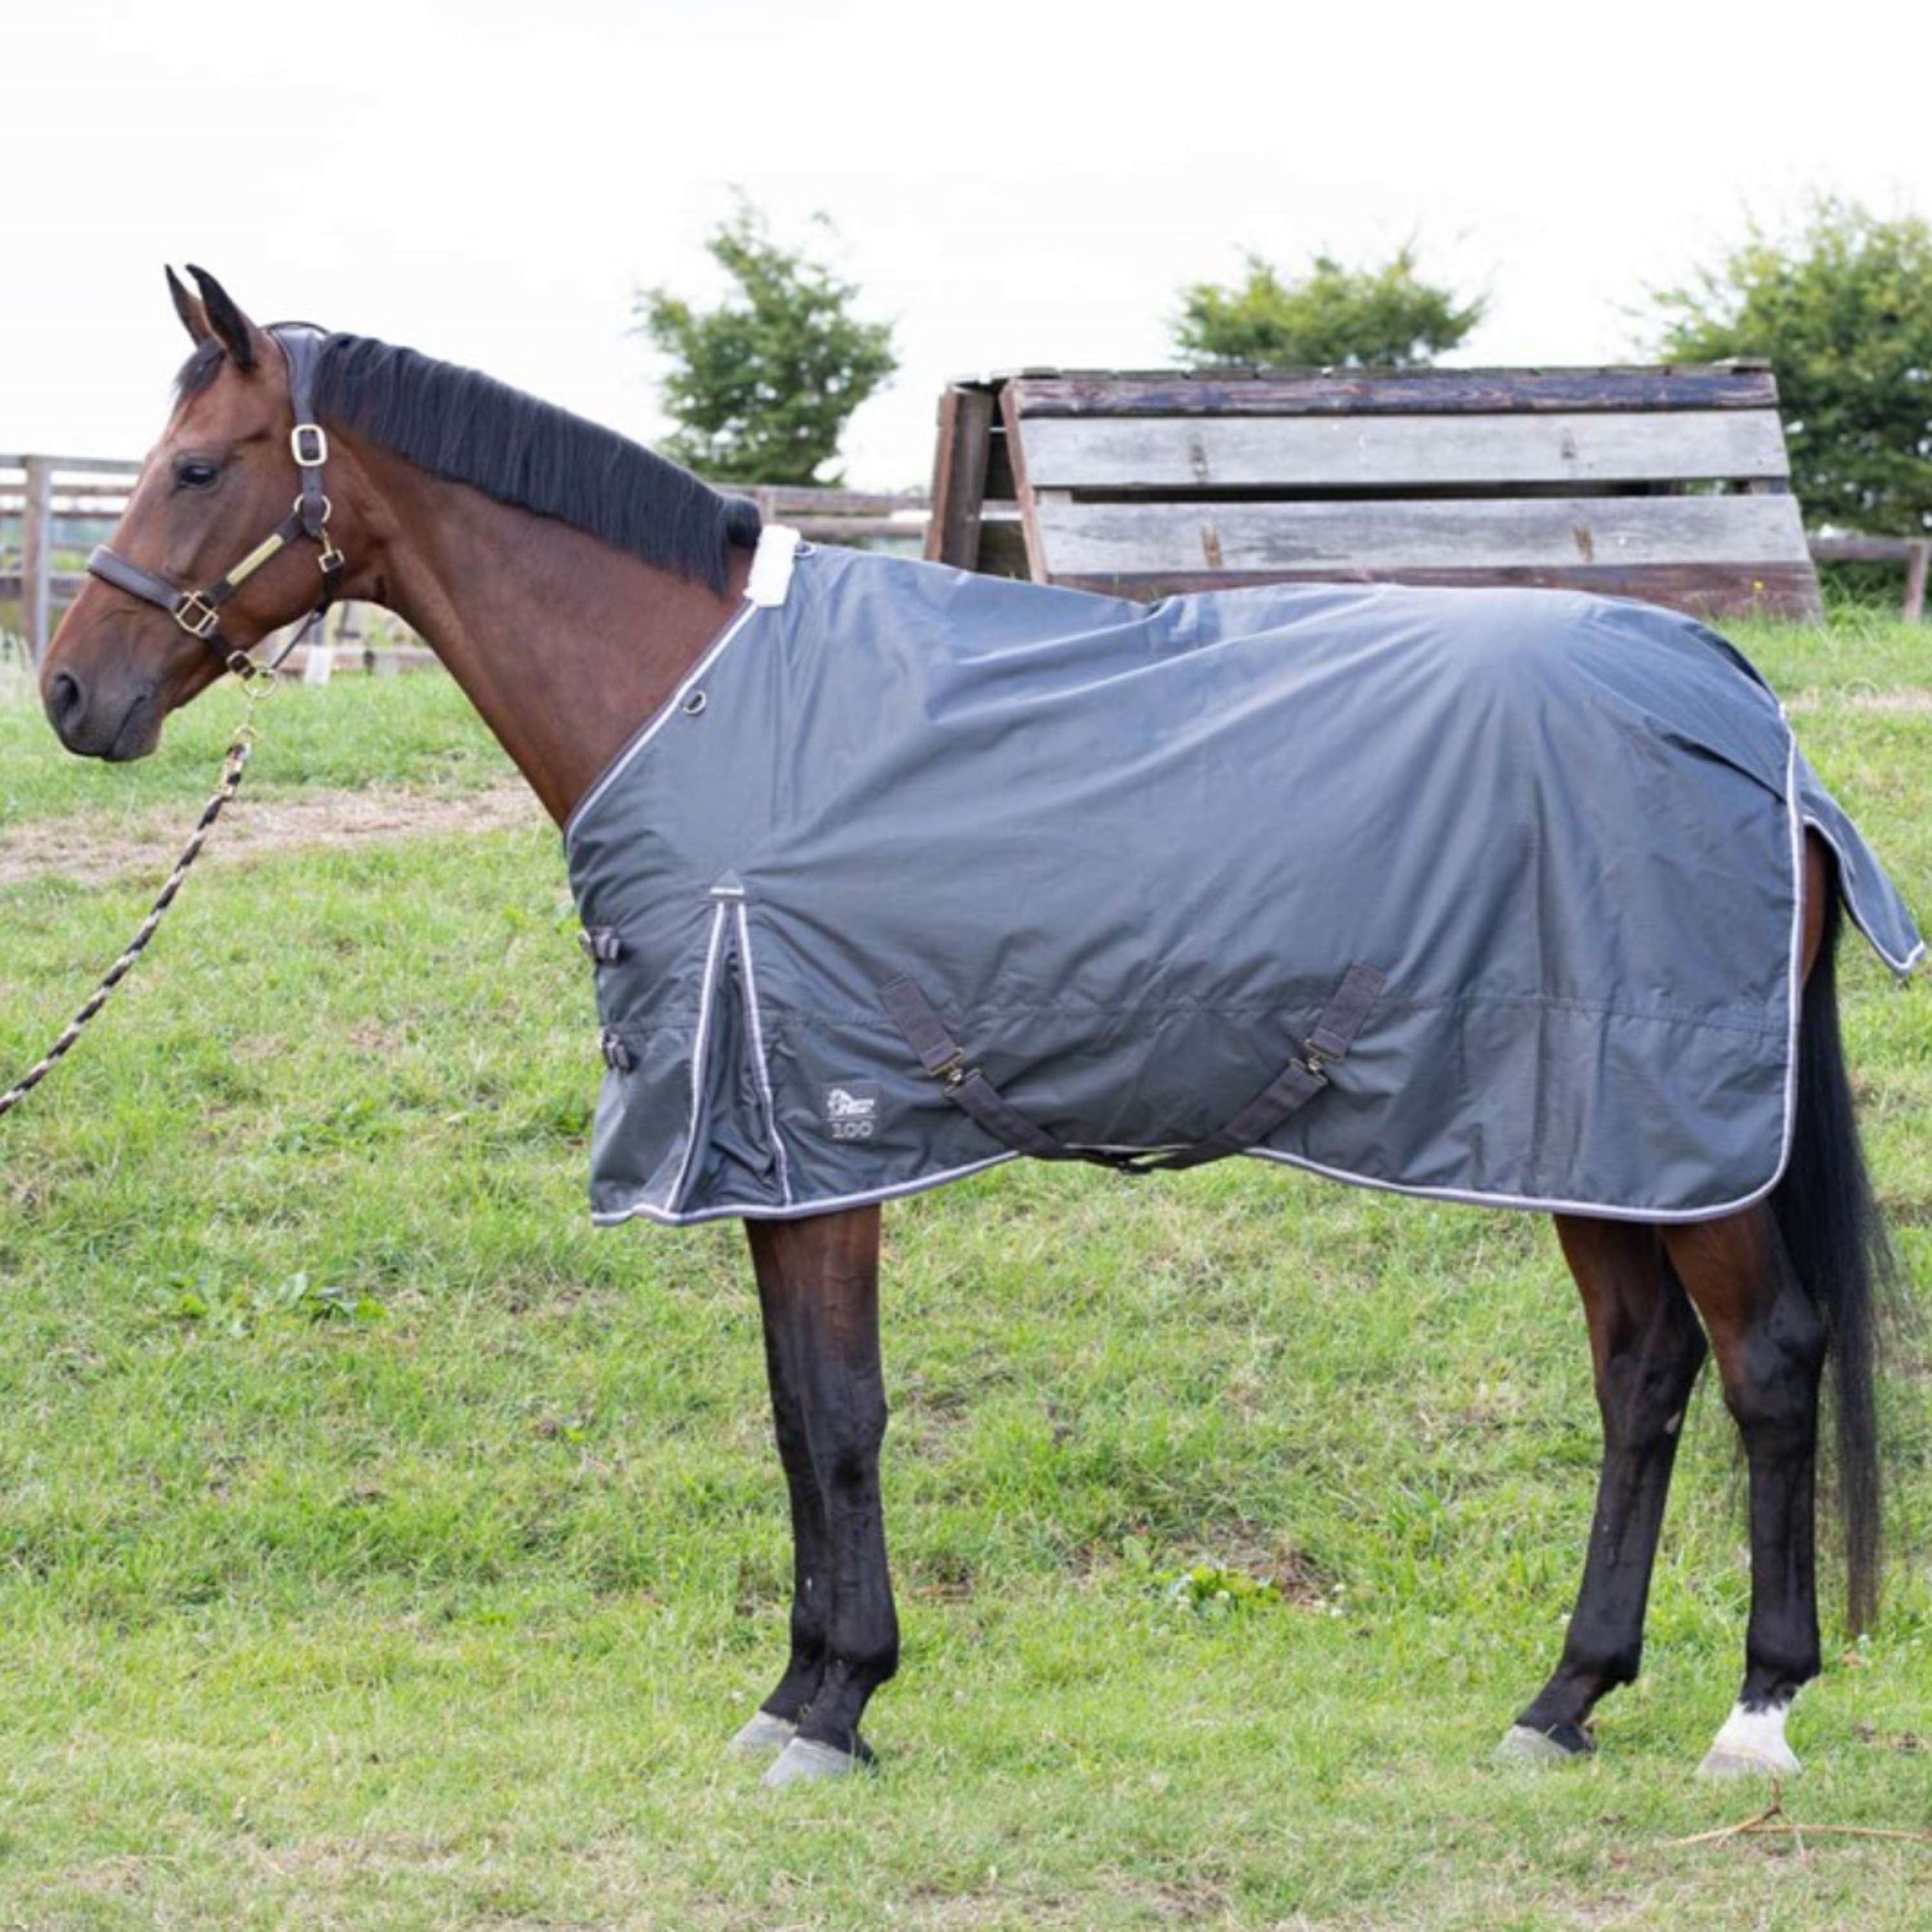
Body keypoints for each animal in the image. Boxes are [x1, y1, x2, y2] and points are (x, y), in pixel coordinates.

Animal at [39, 266, 1909, 1789]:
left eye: (199, 466)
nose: (71, 691)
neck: (710, 700)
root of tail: (1747, 715)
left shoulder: (818, 1128)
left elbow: (840, 1414)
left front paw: (838, 1705)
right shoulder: (777, 1147)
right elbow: (795, 1410)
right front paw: (796, 1693)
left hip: (1676, 1134)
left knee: (1764, 1361)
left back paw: (1754, 1712)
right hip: (1589, 1132)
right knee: (1640, 1371)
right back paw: (1563, 1697)